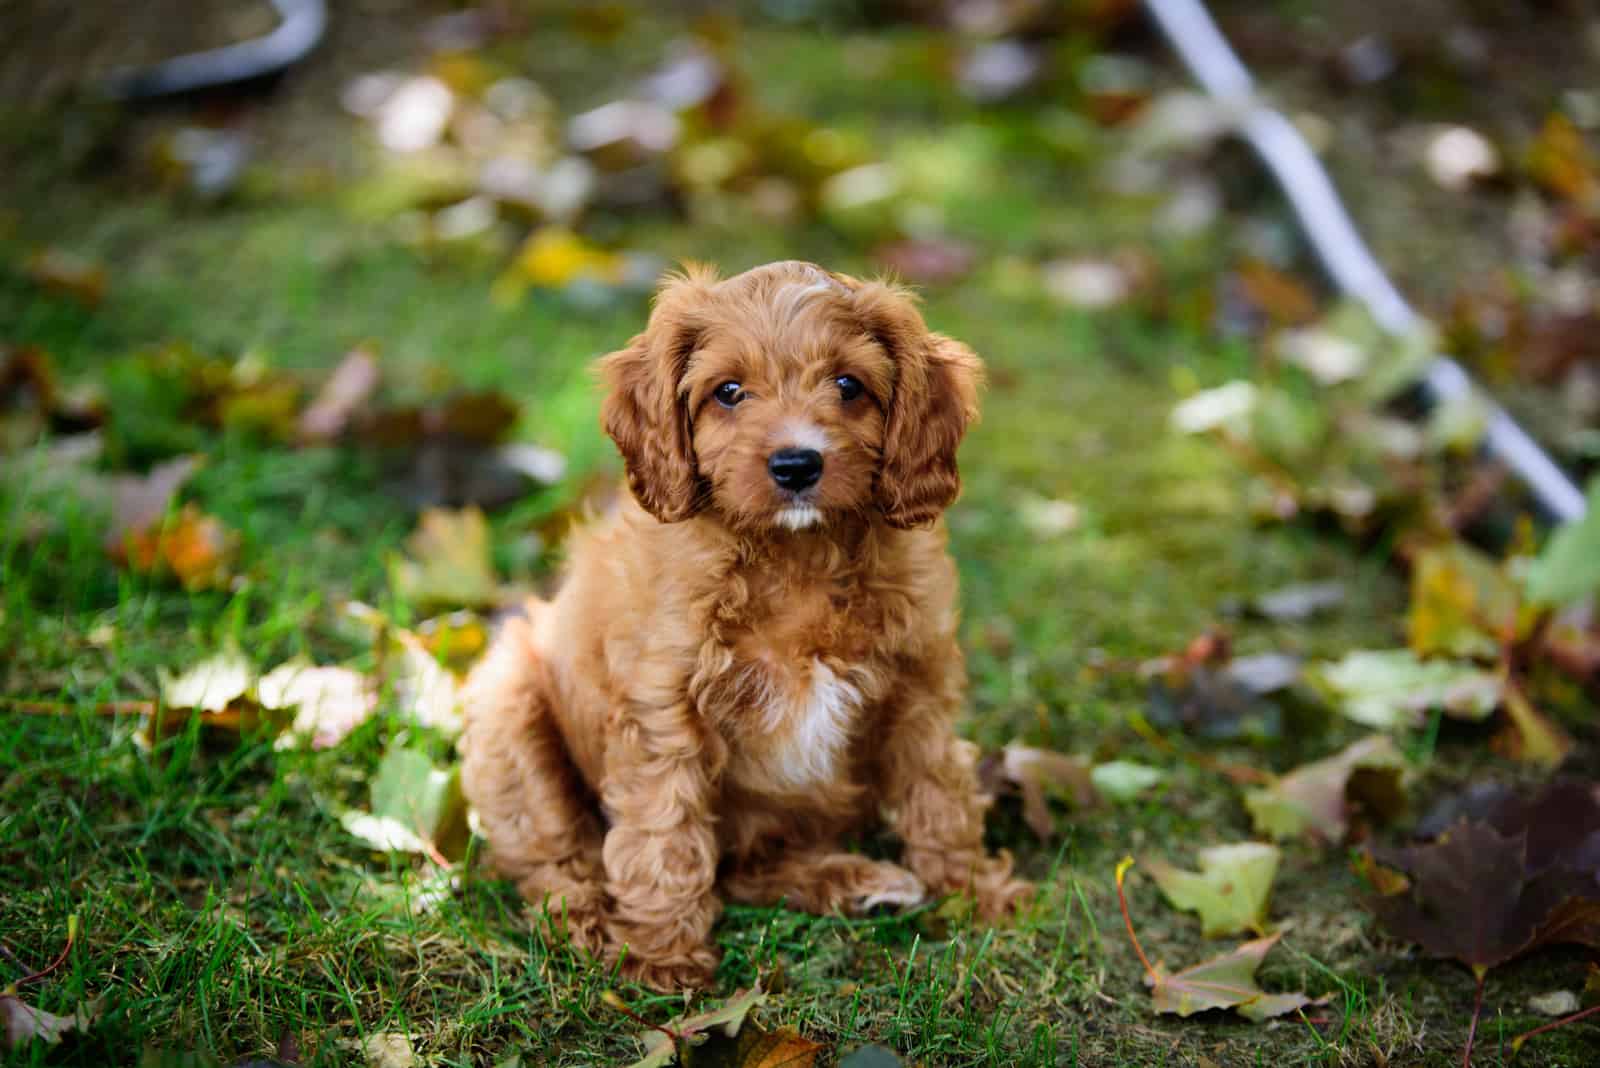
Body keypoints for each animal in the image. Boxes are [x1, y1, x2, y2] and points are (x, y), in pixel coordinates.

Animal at [460, 260, 1036, 991]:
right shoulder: (663, 706)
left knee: (743, 870)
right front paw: (661, 955)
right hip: (509, 705)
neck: (797, 554)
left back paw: (854, 882)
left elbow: (940, 792)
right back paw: (585, 920)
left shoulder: (920, 686)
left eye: (849, 386)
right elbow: (663, 828)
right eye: (728, 392)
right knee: (551, 853)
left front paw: (971, 893)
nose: (797, 464)